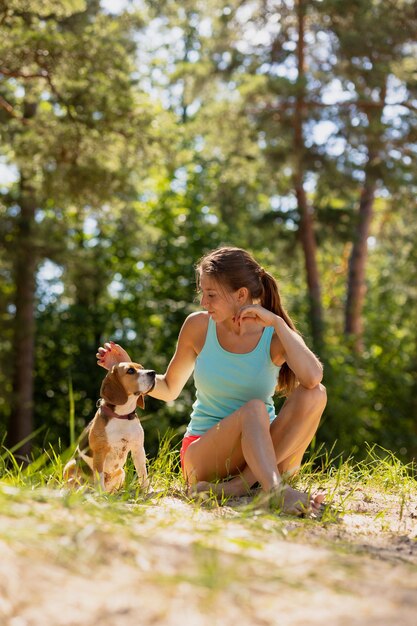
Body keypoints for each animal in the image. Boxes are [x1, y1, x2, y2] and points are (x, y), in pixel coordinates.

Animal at [63, 360, 156, 492]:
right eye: (130, 371)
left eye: (142, 368)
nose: (153, 373)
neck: (121, 416)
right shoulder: (100, 453)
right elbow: (99, 475)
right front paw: (101, 493)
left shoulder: (138, 449)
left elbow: (143, 472)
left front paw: (147, 490)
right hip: (70, 465)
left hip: (121, 472)